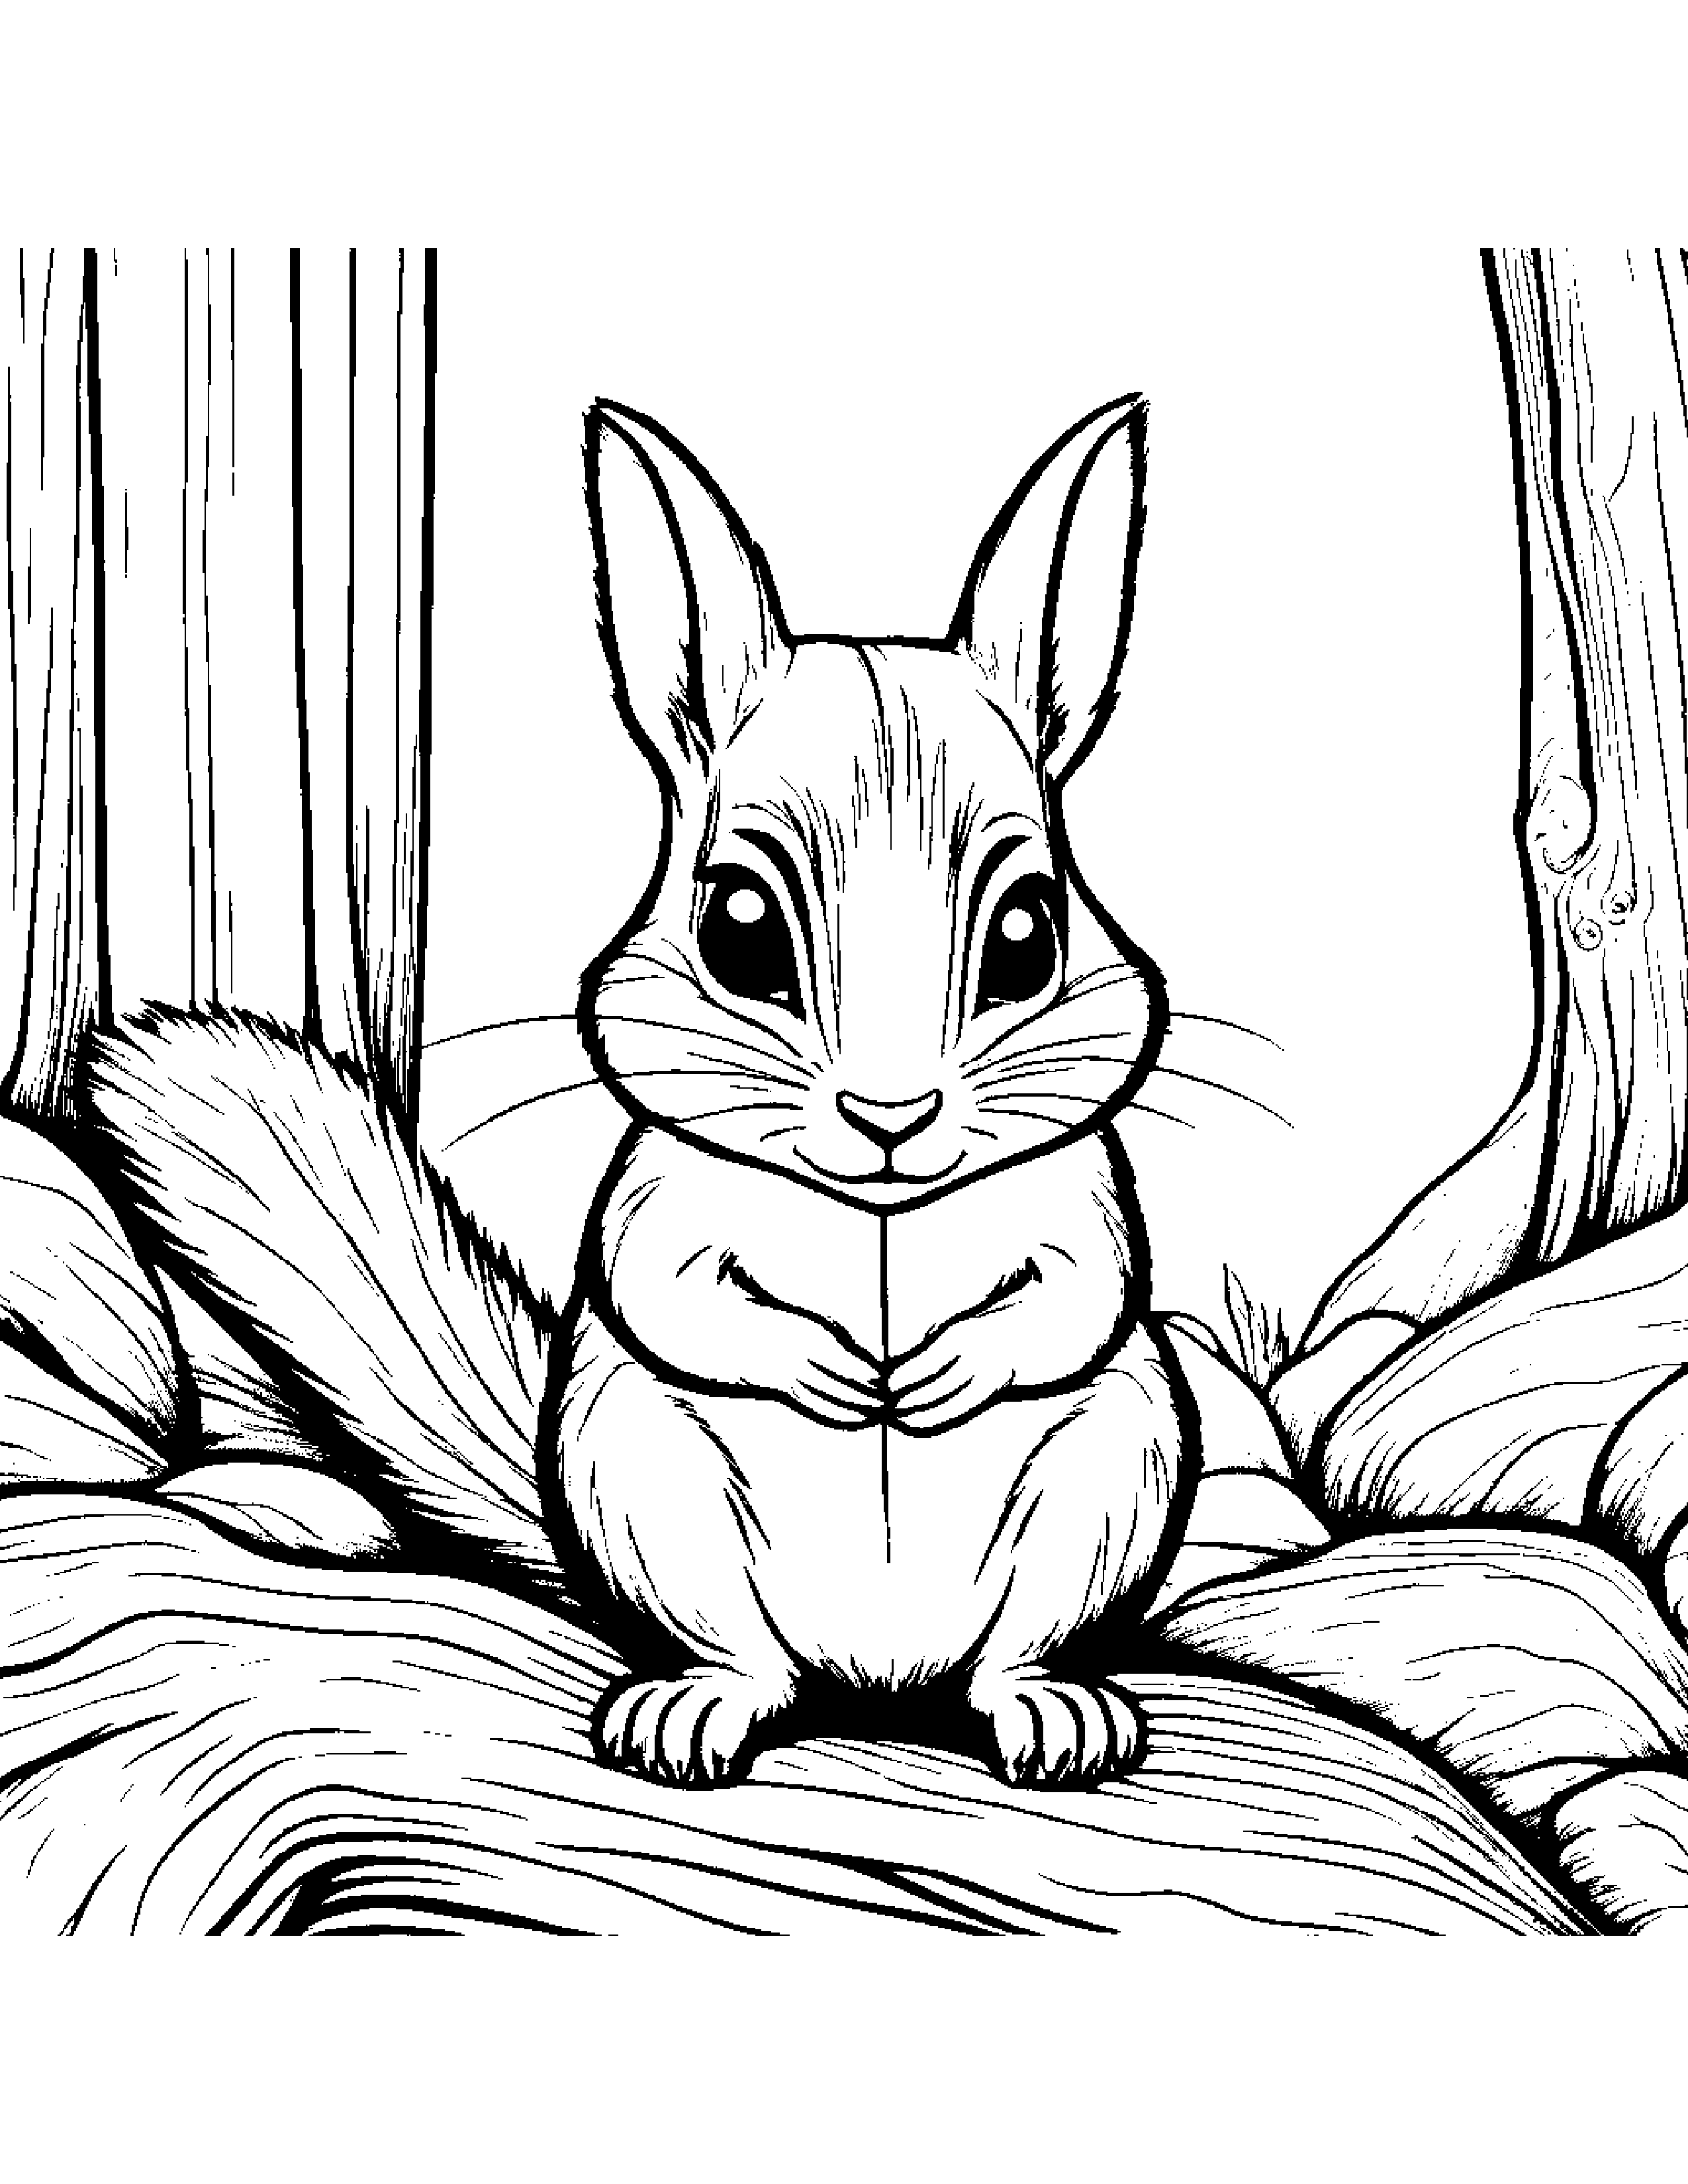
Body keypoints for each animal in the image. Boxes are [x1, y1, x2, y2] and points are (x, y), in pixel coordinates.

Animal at [82, 396, 1196, 1793]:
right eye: (738, 927)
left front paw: (932, 1375)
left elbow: (1075, 1301)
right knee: (746, 1661)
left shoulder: (1087, 1210)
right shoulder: (653, 1205)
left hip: (1112, 1482)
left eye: (1030, 933)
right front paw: (840, 1374)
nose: (891, 1121)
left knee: (1011, 1655)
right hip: (646, 1491)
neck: (877, 1214)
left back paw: (1055, 1712)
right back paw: (689, 1709)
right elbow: (676, 1296)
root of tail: (881, 1684)